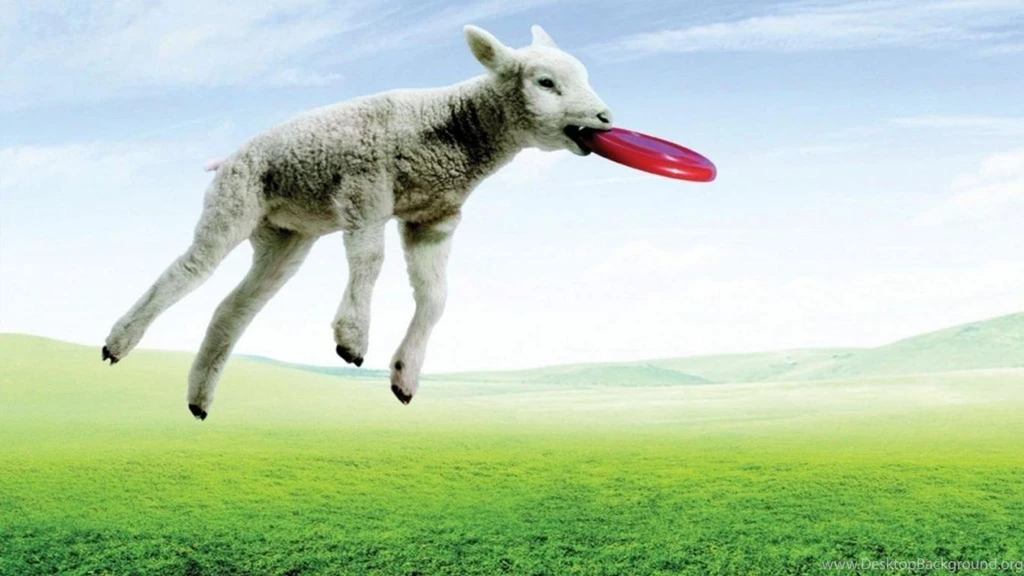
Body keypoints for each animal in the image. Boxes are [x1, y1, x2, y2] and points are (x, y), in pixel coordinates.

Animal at [101, 24, 613, 419]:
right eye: (546, 83)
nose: (605, 117)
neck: (454, 131)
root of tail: (227, 158)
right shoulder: (364, 189)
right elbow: (370, 260)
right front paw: (352, 339)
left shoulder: (433, 218)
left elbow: (435, 297)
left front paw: (405, 375)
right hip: (236, 198)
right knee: (188, 269)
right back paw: (118, 344)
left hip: (286, 235)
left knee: (233, 307)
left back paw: (199, 401)